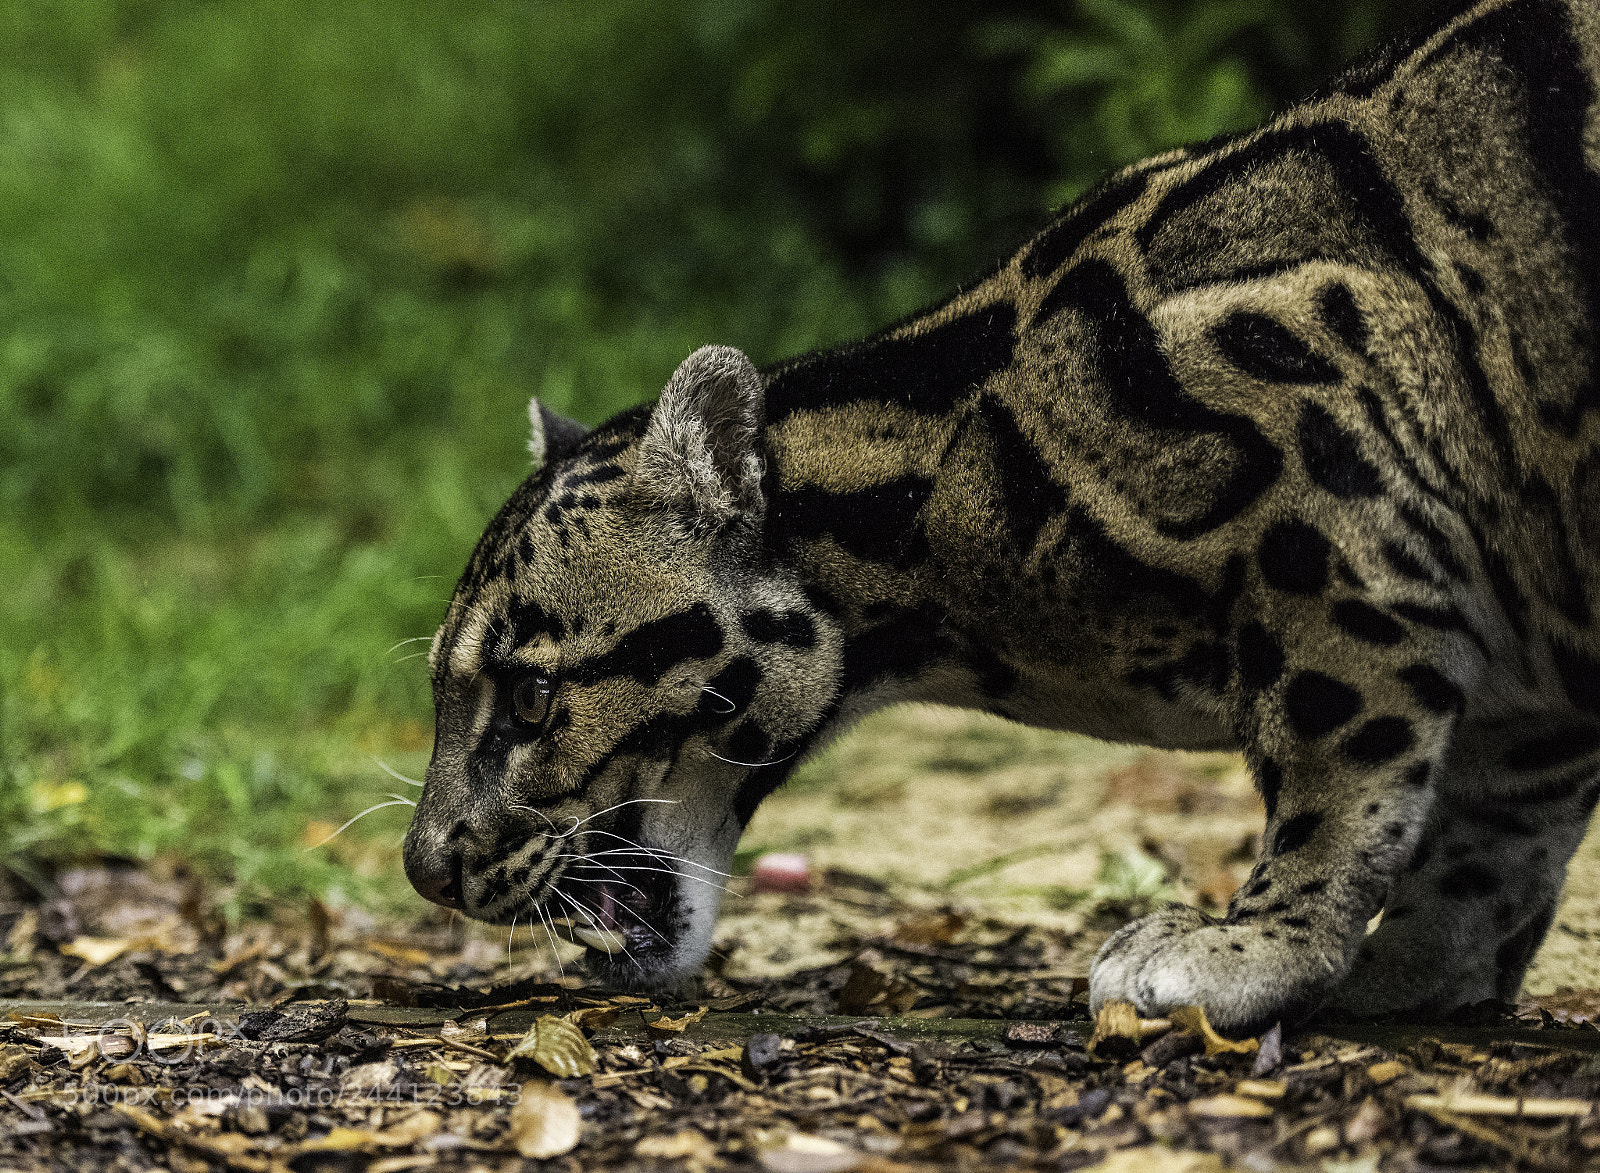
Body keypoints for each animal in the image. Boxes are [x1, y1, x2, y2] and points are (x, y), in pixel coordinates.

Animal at [402, 0, 1600, 1036]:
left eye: (530, 695)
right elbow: (1494, 835)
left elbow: (1339, 768)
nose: (424, 866)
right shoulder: (1523, 680)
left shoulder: (1331, 511)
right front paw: (1407, 973)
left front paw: (1257, 948)